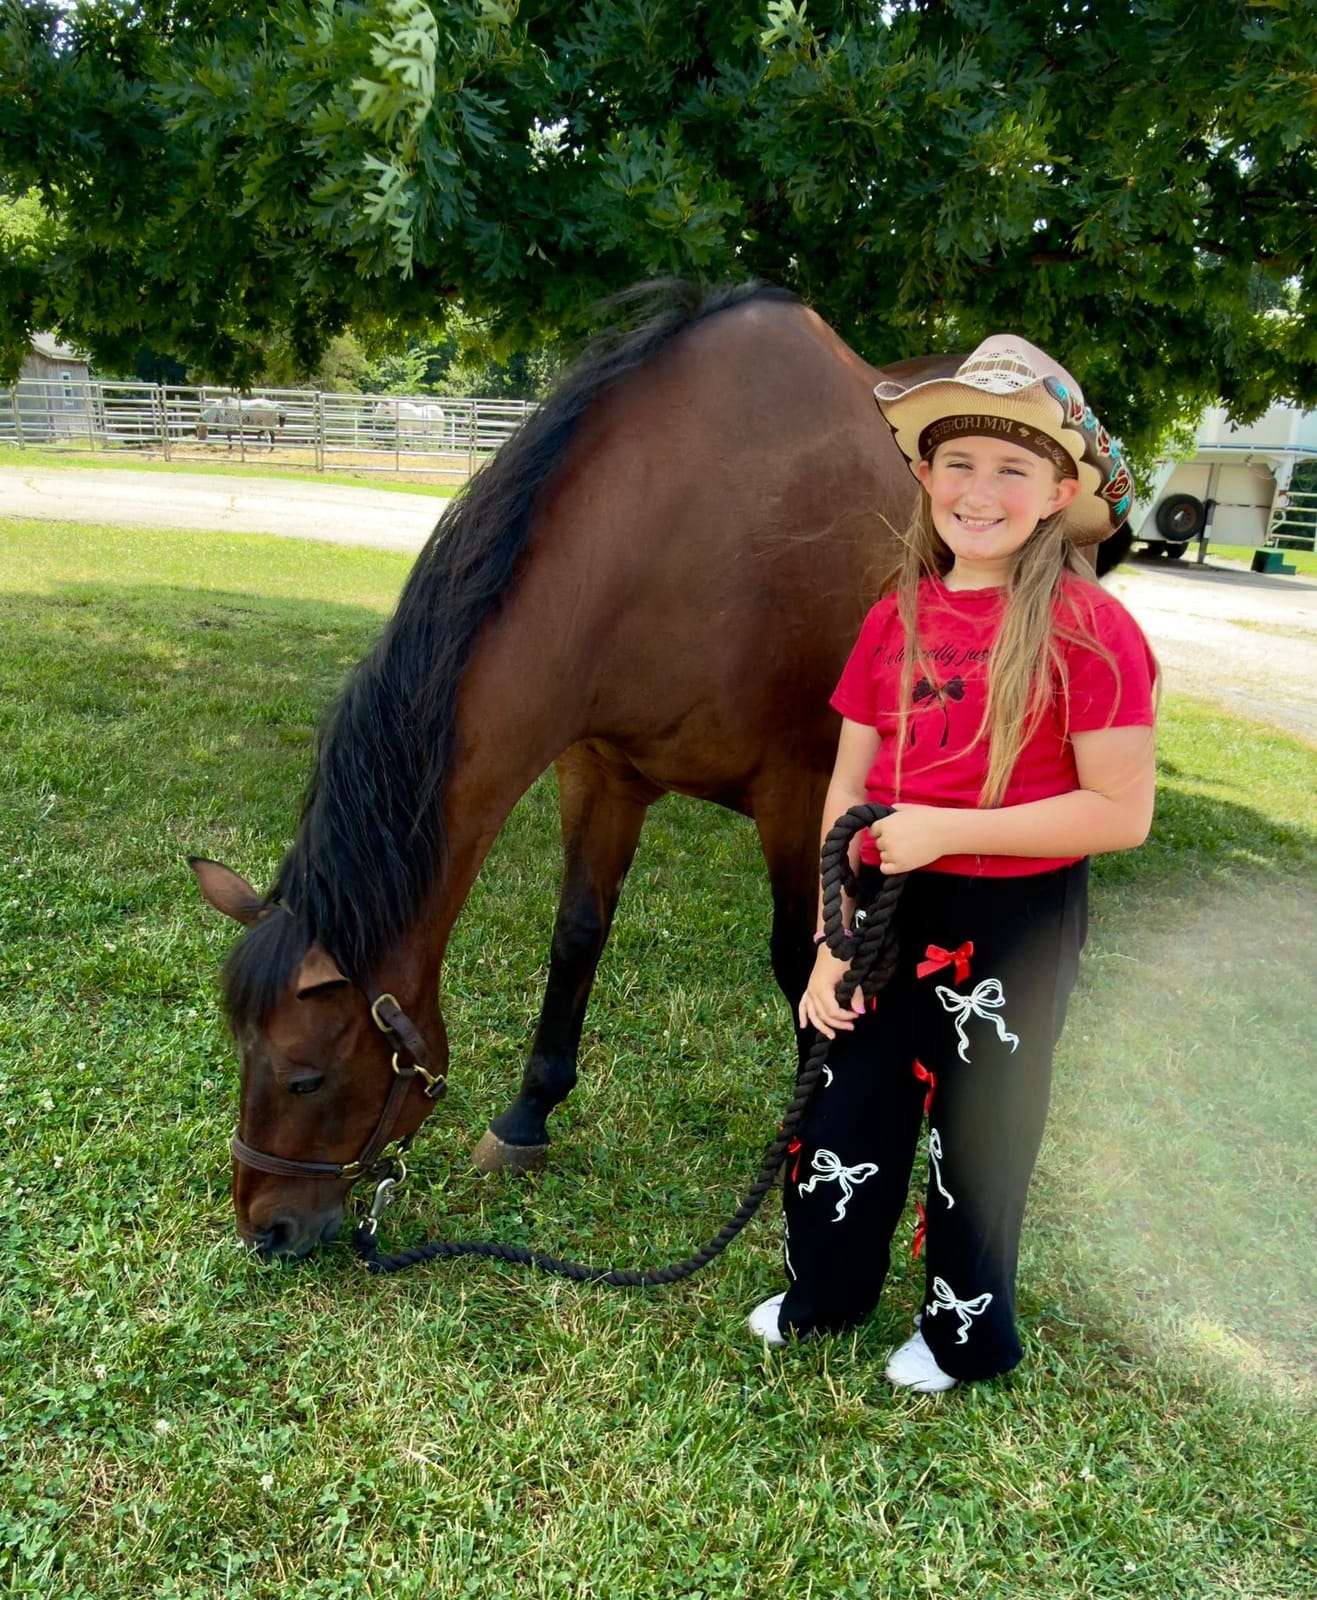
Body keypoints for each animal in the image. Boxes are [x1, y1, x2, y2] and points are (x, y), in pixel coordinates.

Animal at [190, 280, 1118, 1260]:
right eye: (241, 1055)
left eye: (305, 1076)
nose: (267, 1227)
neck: (687, 534)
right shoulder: (599, 770)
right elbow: (578, 933)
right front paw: (527, 1115)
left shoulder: (798, 795)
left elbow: (799, 959)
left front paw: (805, 1155)